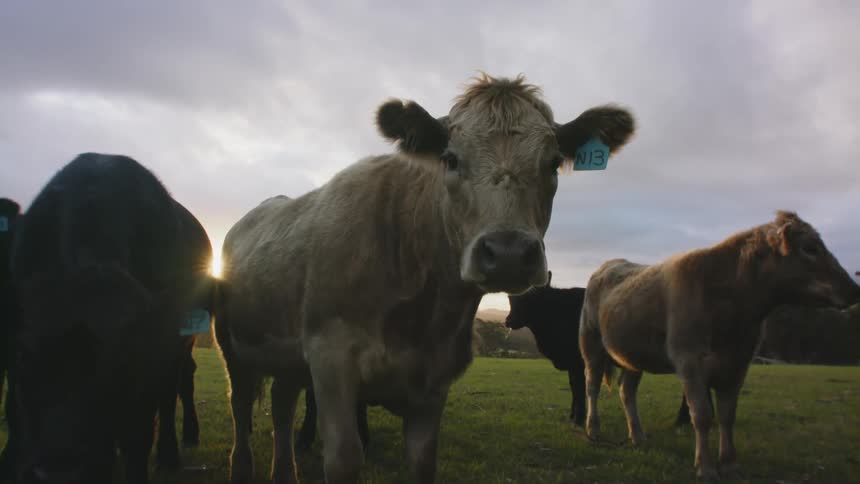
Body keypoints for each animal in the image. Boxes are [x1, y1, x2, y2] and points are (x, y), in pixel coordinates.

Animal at [10, 153, 213, 484]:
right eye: (24, 354)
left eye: (121, 360)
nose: (60, 468)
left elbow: (139, 435)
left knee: (175, 387)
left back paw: (174, 448)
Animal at [214, 73, 636, 484]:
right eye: (450, 158)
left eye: (552, 163)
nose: (509, 254)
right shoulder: (330, 359)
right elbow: (345, 459)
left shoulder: (436, 379)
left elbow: (422, 462)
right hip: (231, 344)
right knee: (239, 406)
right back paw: (240, 467)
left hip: (284, 355)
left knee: (281, 408)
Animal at [504, 271, 699, 427]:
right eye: (511, 298)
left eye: (530, 299)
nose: (508, 320)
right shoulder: (572, 363)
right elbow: (573, 387)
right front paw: (573, 416)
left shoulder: (578, 362)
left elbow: (579, 387)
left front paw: (579, 419)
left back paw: (681, 420)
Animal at [579, 211, 860, 479]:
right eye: (810, 248)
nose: (853, 289)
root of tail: (609, 264)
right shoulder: (689, 361)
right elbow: (702, 415)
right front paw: (705, 466)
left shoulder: (738, 364)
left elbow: (727, 415)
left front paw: (729, 463)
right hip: (590, 342)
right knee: (592, 385)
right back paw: (593, 428)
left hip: (632, 356)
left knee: (627, 391)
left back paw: (638, 435)